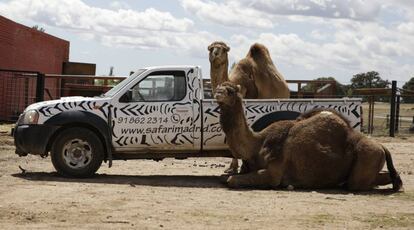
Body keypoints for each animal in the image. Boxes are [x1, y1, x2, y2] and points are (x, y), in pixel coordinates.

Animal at [215, 82, 402, 191]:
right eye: (218, 87)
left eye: (230, 91)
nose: (217, 93)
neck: (257, 144)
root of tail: (382, 146)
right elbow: (225, 178)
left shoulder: (274, 173)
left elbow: (231, 180)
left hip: (367, 157)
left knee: (358, 183)